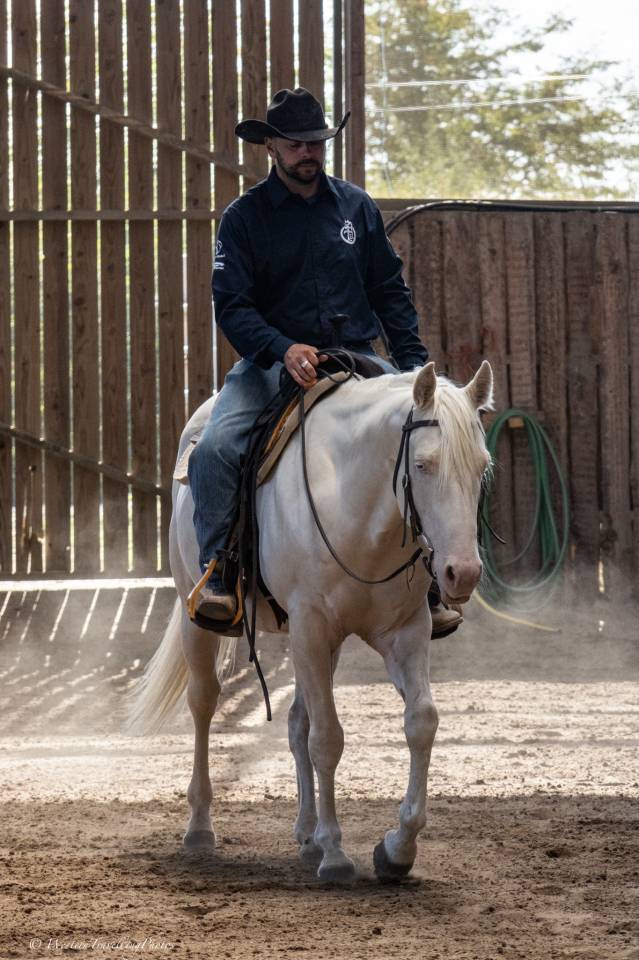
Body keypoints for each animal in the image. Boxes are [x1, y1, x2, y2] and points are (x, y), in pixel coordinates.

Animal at [129, 359, 494, 883]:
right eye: (423, 465)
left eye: (482, 468)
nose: (461, 573)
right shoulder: (312, 627)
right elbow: (328, 739)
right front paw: (337, 853)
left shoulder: (402, 633)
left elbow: (420, 721)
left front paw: (396, 849)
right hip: (196, 615)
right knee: (203, 703)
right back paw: (200, 827)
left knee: (296, 720)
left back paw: (306, 835)